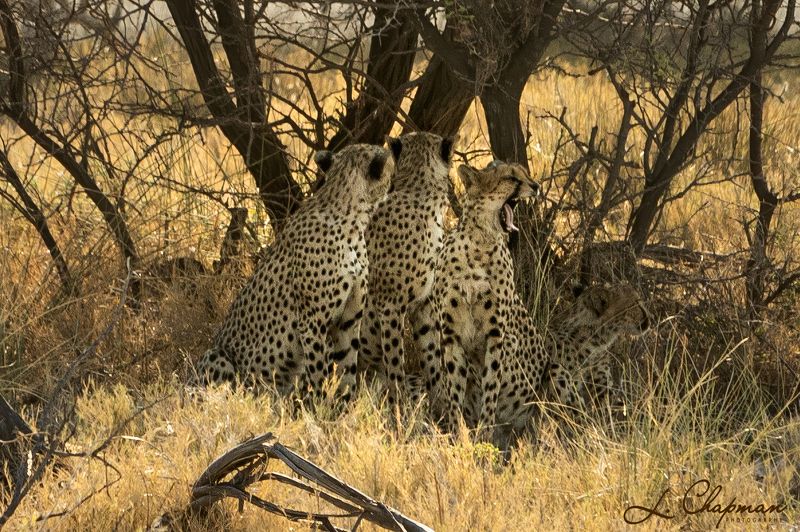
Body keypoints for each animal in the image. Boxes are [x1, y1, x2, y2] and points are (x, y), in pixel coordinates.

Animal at [193, 142, 398, 401]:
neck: (353, 220)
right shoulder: (312, 322)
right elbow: (319, 371)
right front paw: (321, 405)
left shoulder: (349, 319)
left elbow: (347, 367)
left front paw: (345, 404)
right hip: (218, 357)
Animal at [357, 132, 454, 409]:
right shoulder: (389, 304)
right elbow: (395, 359)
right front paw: (399, 406)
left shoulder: (424, 305)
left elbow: (433, 357)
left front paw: (440, 404)